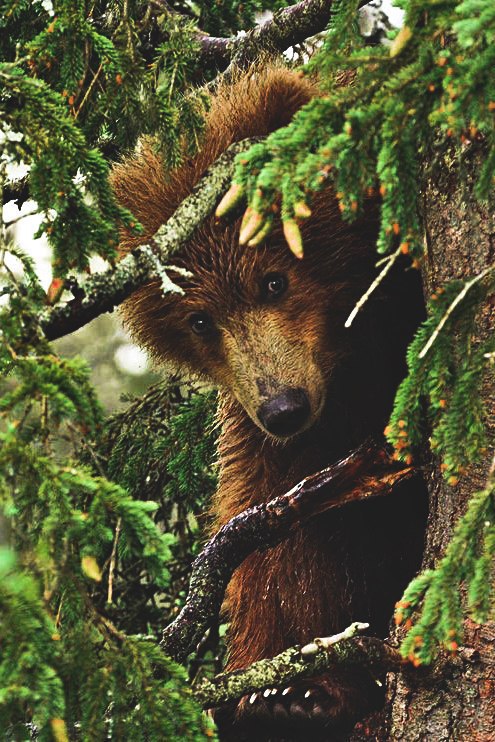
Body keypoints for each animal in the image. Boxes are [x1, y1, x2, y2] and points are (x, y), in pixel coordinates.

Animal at [110, 67, 428, 740]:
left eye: (274, 279)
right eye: (200, 320)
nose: (285, 406)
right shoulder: (279, 441)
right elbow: (280, 549)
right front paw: (285, 687)